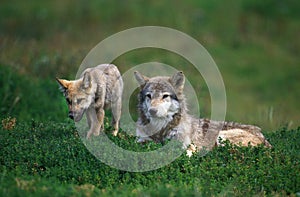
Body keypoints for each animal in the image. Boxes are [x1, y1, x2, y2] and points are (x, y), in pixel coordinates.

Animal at [134, 71, 272, 154]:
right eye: (149, 96)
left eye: (165, 96)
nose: (152, 111)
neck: (160, 129)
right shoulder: (140, 140)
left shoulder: (184, 144)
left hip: (221, 137)